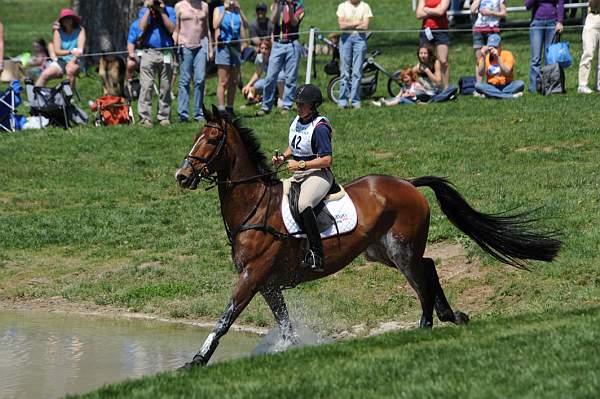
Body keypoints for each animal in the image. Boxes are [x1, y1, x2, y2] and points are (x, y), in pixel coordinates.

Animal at [173, 105, 564, 368]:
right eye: (195, 137)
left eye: (211, 139)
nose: (182, 176)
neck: (254, 205)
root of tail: (409, 184)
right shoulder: (268, 283)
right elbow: (284, 323)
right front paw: (291, 349)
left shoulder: (252, 275)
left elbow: (226, 318)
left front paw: (197, 360)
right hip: (382, 251)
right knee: (429, 266)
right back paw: (450, 316)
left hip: (400, 249)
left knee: (422, 273)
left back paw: (425, 323)